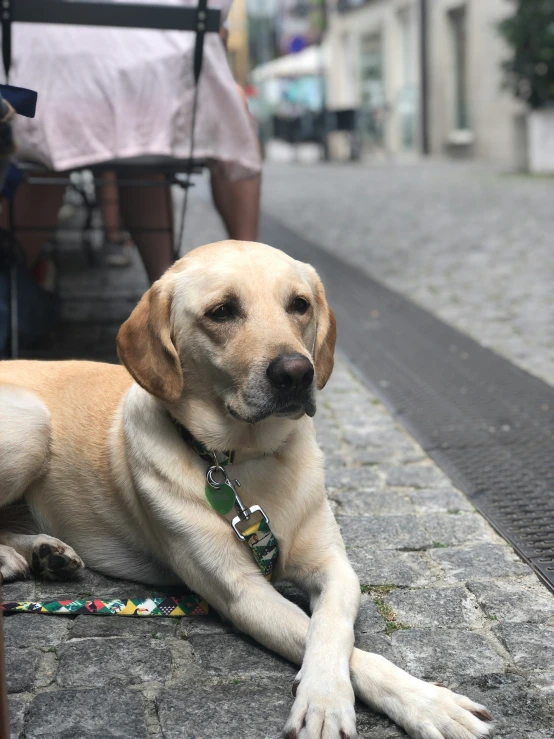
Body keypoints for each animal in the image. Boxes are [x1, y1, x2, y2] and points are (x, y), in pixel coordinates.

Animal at [1, 240, 492, 736]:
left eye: (300, 304)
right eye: (221, 311)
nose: (297, 372)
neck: (244, 459)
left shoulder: (334, 567)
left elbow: (331, 630)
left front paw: (379, 696)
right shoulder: (240, 592)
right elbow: (339, 646)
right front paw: (360, 702)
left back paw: (45, 553)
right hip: (30, 425)